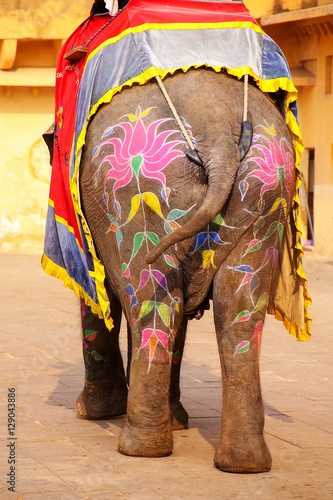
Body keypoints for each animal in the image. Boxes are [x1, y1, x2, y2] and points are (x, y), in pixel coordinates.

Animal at [73, 67, 298, 472]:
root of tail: (216, 127)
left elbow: (96, 292)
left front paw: (92, 414)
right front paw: (178, 422)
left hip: (130, 193)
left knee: (154, 298)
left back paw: (138, 449)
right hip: (268, 191)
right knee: (235, 307)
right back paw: (243, 464)